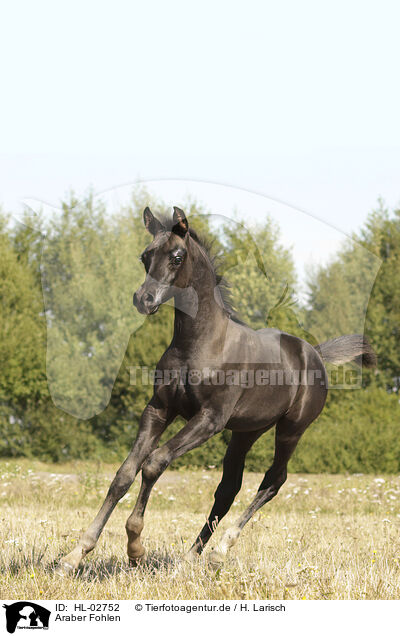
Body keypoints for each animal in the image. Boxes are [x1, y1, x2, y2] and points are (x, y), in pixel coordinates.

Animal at [58, 207, 376, 572]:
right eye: (144, 256)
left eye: (177, 256)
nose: (143, 299)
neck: (198, 343)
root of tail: (315, 353)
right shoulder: (159, 409)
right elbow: (125, 473)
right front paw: (75, 554)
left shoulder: (209, 420)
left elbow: (154, 462)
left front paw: (135, 546)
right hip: (247, 431)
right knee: (228, 488)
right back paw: (189, 557)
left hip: (291, 429)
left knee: (274, 480)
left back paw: (222, 547)